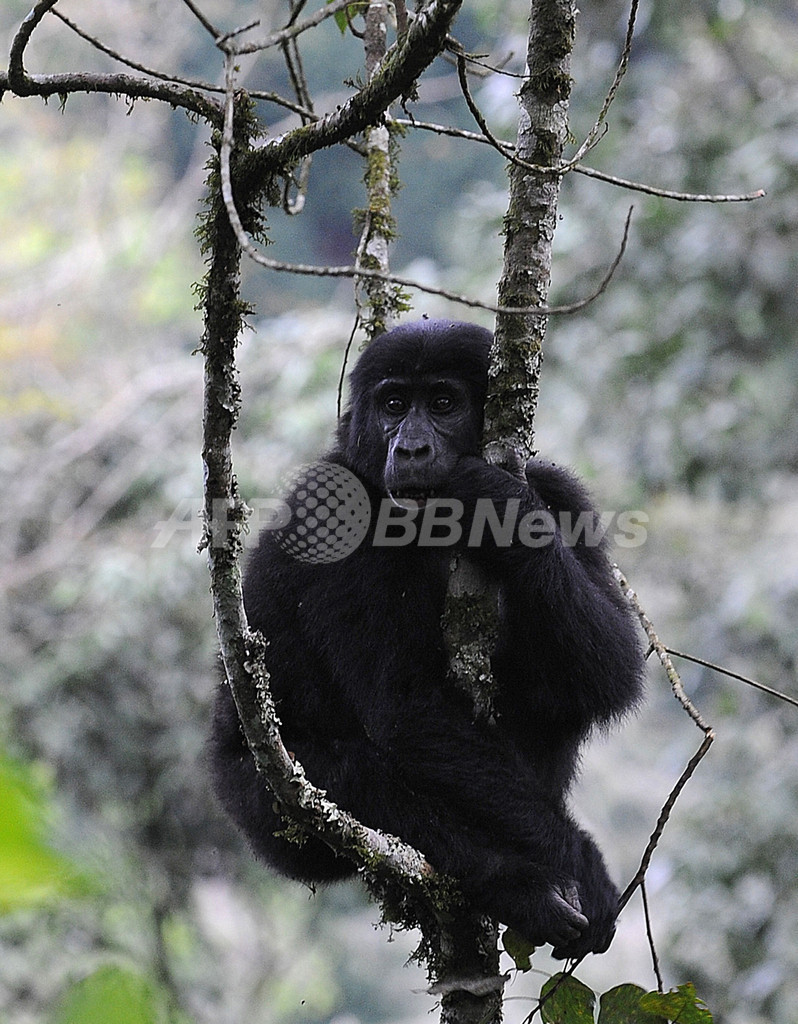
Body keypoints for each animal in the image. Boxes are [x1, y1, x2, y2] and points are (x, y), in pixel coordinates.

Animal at [211, 317, 643, 958]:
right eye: (394, 405)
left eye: (442, 402)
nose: (411, 447)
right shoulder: (334, 513)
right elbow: (410, 710)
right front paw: (578, 862)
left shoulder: (561, 493)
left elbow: (608, 670)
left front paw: (502, 508)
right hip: (260, 808)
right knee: (364, 781)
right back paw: (517, 888)